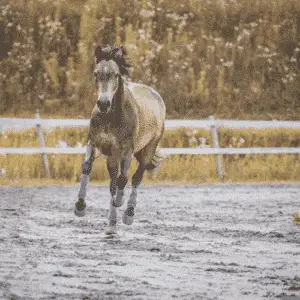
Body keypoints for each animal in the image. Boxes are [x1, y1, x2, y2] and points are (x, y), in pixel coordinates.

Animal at [74, 45, 165, 236]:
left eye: (116, 75)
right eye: (96, 73)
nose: (103, 104)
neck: (110, 117)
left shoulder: (126, 151)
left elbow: (123, 180)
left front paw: (119, 204)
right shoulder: (96, 144)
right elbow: (87, 168)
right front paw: (80, 207)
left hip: (147, 149)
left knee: (136, 178)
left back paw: (128, 214)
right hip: (112, 156)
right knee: (114, 181)